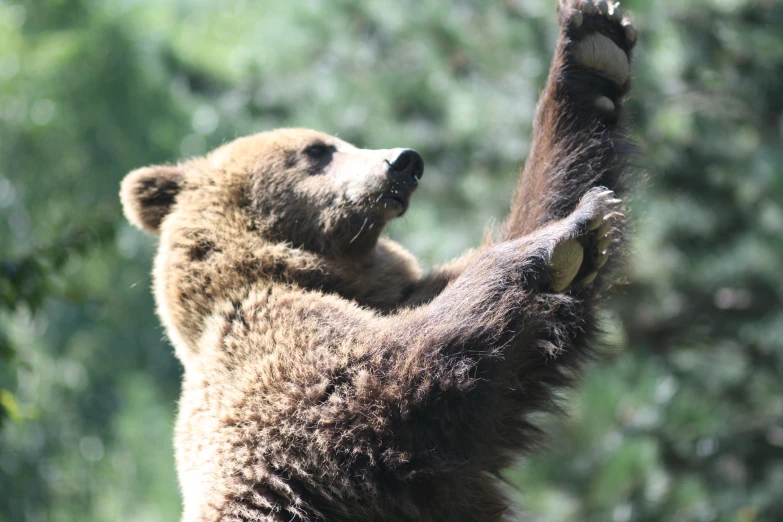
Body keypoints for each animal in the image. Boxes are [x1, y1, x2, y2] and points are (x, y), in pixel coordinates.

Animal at [121, 1, 636, 520]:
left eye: (339, 140)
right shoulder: (278, 366)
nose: (405, 161)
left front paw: (595, 48)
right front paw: (566, 234)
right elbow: (395, 370)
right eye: (317, 150)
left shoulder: (400, 299)